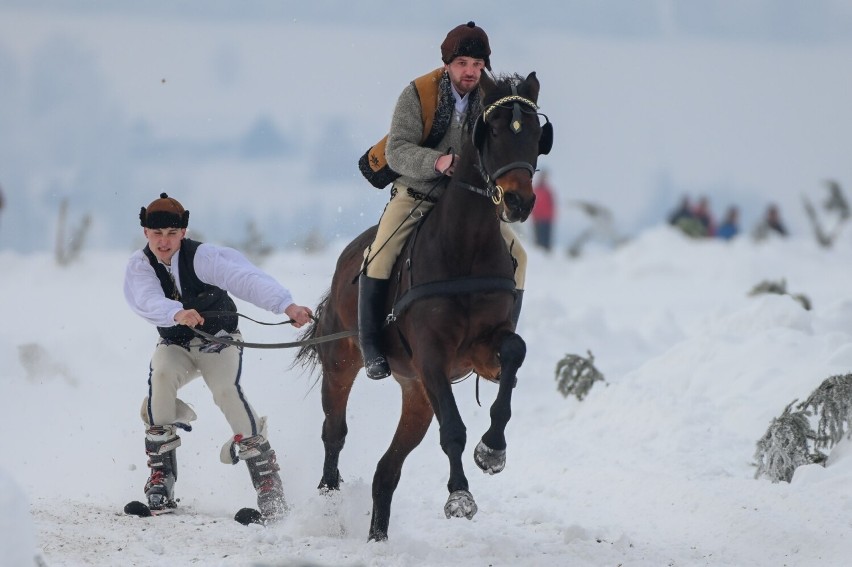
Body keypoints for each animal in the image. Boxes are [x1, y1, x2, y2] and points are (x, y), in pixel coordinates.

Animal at [296, 71, 556, 540]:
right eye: (492, 130)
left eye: (533, 133)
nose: (519, 201)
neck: (465, 247)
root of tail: (347, 258)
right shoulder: (432, 357)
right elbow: (452, 429)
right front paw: (459, 495)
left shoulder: (480, 354)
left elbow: (513, 354)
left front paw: (493, 449)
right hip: (343, 364)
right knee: (334, 432)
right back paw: (329, 502)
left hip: (415, 393)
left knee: (387, 470)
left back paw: (378, 538)